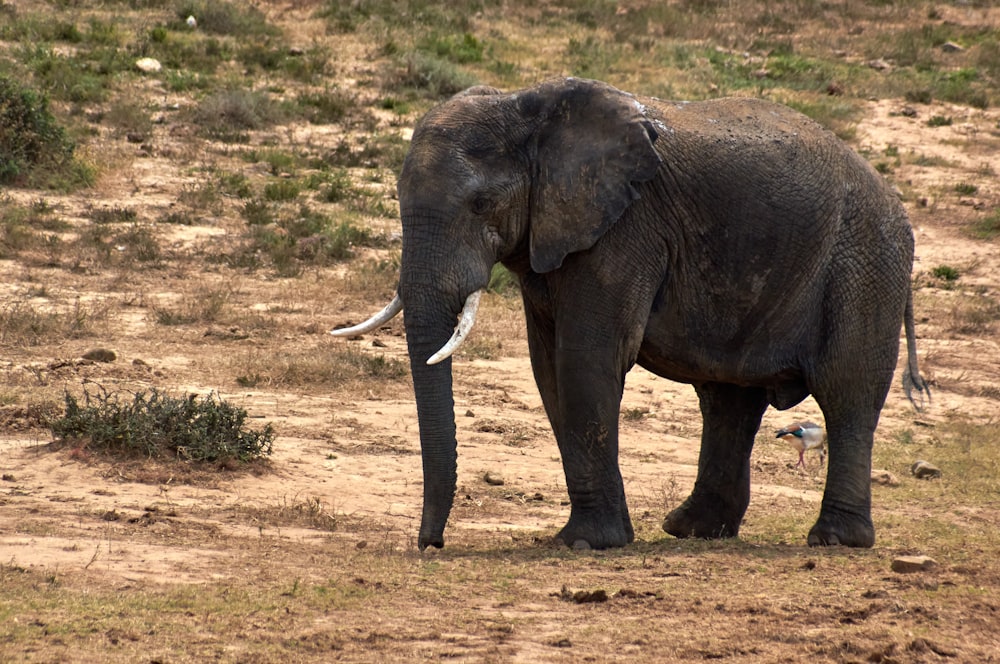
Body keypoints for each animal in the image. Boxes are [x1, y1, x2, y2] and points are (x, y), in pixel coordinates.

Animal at [334, 76, 928, 548]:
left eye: (481, 205)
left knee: (846, 391)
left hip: (864, 263)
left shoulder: (625, 230)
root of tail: (896, 202)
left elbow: (585, 361)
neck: (526, 108)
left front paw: (586, 544)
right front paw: (594, 539)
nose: (430, 544)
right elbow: (550, 372)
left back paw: (835, 540)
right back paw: (692, 530)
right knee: (729, 399)